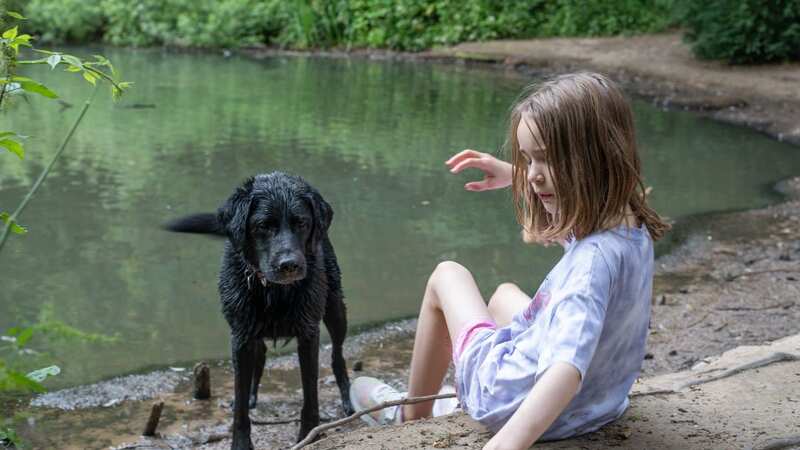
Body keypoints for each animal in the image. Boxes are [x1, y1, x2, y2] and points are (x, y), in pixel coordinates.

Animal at [166, 171, 354, 446]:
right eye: (263, 225)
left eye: (301, 223)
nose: (290, 265)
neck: (274, 291)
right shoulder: (241, 338)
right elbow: (240, 404)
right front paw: (241, 442)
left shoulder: (309, 334)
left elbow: (310, 395)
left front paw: (309, 435)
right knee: (261, 356)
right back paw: (254, 395)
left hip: (335, 308)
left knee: (337, 355)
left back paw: (348, 398)